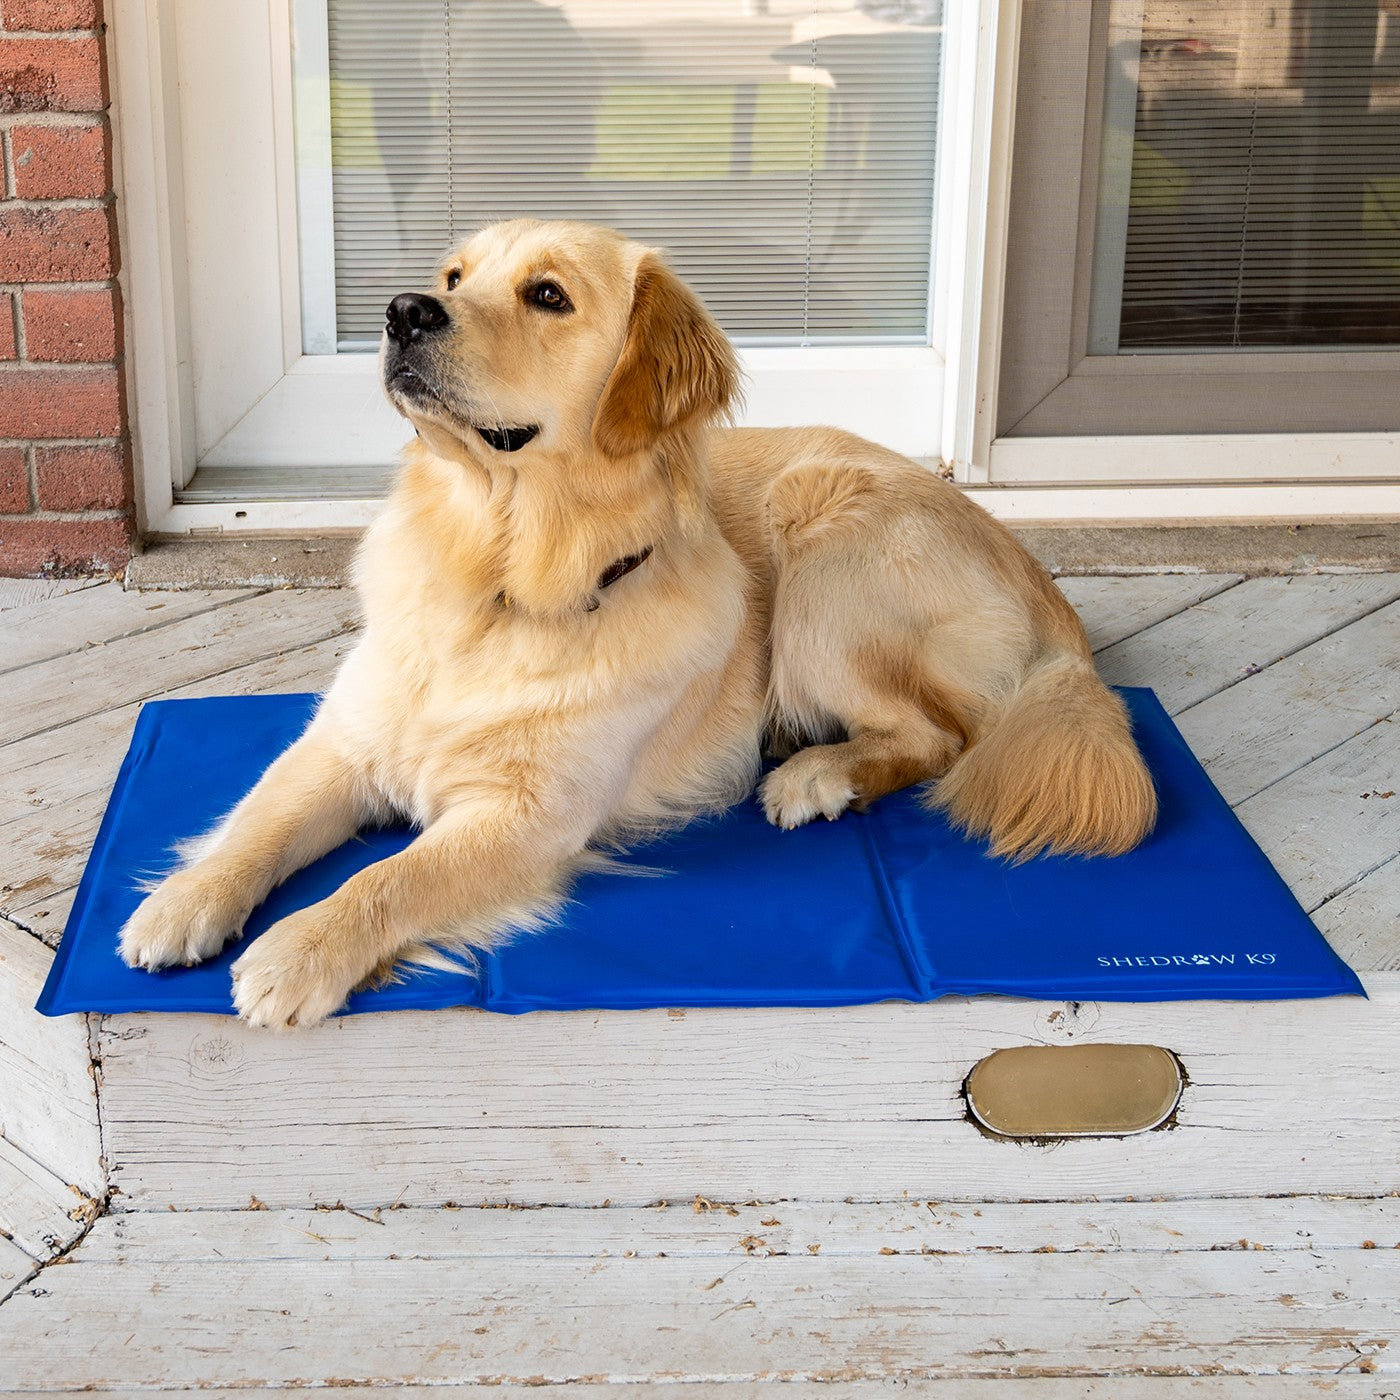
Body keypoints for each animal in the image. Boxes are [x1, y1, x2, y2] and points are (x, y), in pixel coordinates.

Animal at [117, 218, 1148, 1030]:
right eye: (453, 277)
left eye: (547, 295)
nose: (403, 310)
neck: (495, 576)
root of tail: (1035, 575)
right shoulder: (343, 745)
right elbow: (259, 820)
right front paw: (183, 899)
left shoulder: (528, 815)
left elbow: (389, 878)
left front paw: (301, 950)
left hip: (822, 539)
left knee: (944, 734)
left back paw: (817, 774)